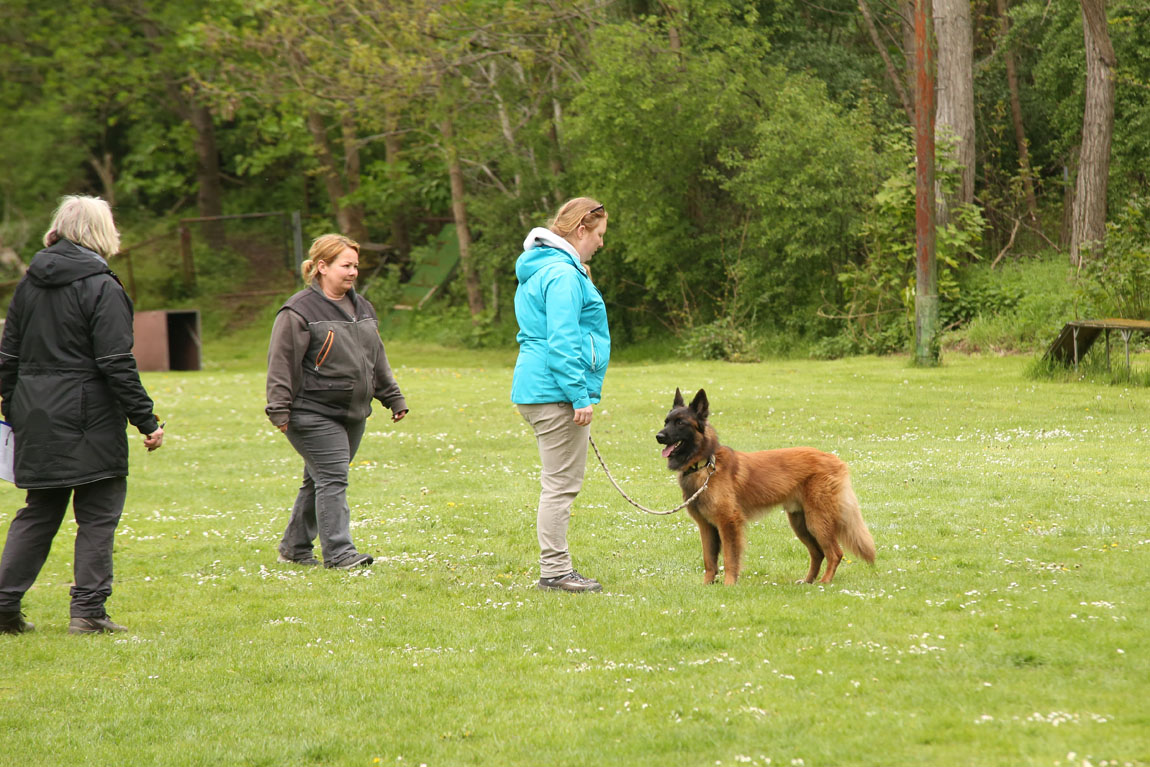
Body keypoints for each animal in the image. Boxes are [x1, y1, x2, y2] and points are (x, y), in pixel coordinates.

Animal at [657, 386, 869, 584]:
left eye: (681, 423)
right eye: (666, 421)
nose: (658, 436)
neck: (704, 464)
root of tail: (834, 459)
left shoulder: (728, 522)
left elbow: (730, 558)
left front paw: (728, 584)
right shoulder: (706, 526)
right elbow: (709, 560)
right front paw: (707, 586)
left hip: (817, 521)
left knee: (834, 553)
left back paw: (824, 583)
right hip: (801, 523)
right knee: (818, 553)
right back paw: (808, 581)